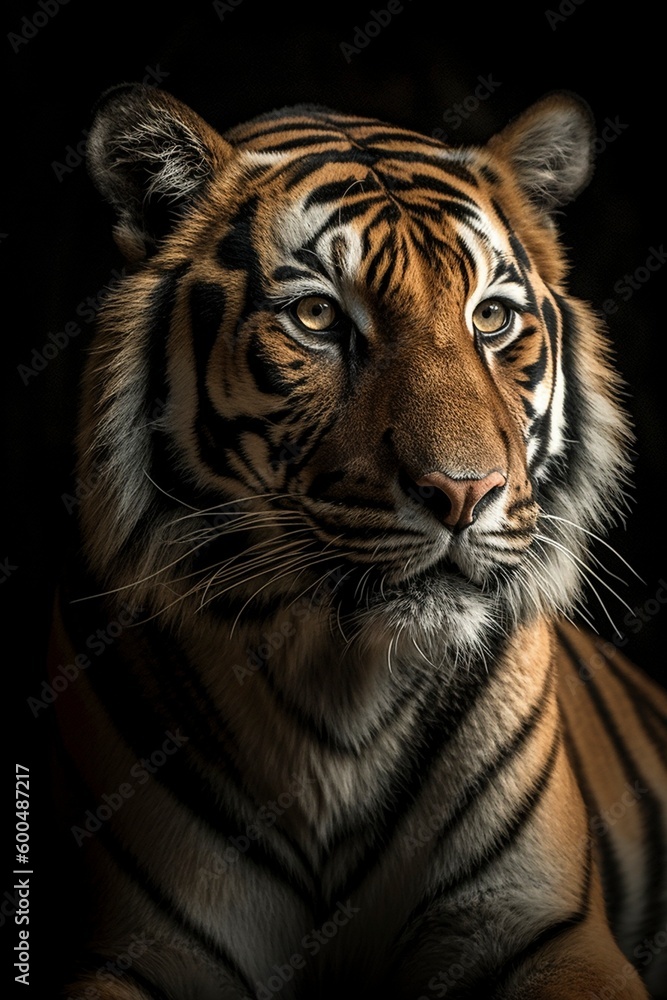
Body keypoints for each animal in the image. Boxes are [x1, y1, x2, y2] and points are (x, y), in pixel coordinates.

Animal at [48, 83, 667, 1000]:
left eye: (490, 317)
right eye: (317, 316)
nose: (463, 492)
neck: (340, 683)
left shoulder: (545, 930)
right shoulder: (137, 950)